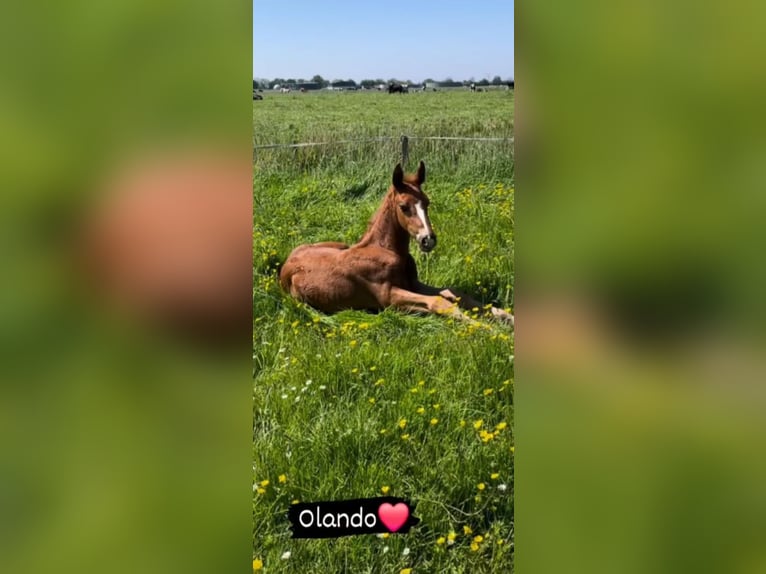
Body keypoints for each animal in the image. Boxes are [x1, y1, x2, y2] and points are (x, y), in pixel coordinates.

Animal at [280, 162, 512, 326]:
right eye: (403, 207)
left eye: (427, 203)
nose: (428, 240)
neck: (385, 250)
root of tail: (286, 263)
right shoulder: (389, 297)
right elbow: (439, 302)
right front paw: (488, 330)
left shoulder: (413, 283)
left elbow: (453, 292)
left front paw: (506, 316)